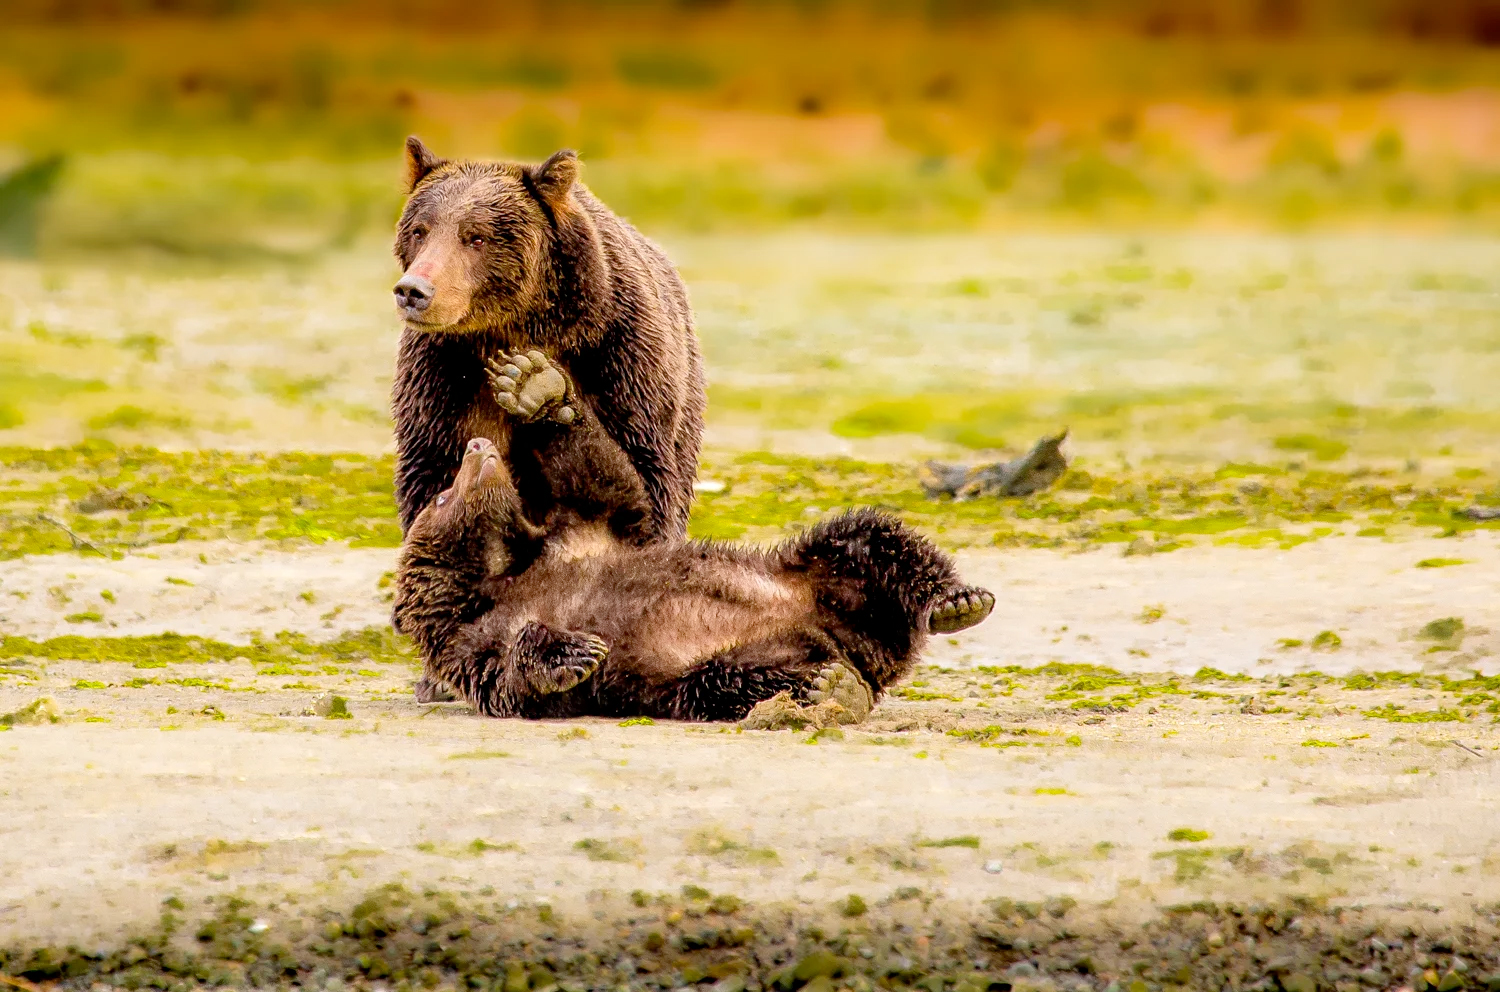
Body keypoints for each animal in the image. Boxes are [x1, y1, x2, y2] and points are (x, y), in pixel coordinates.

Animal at [390, 137, 705, 544]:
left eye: (476, 237)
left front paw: (530, 380)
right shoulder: (444, 379)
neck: (520, 327)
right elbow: (433, 471)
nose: (413, 291)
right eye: (420, 230)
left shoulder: (620, 357)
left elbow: (645, 476)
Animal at [391, 350, 995, 722]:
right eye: (442, 495)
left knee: (865, 537)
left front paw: (533, 385)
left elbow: (606, 486)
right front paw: (576, 651)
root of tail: (865, 644)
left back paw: (958, 601)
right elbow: (512, 676)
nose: (476, 447)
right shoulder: (470, 639)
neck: (505, 570)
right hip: (724, 664)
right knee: (748, 677)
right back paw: (834, 687)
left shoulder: (584, 534)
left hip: (811, 573)